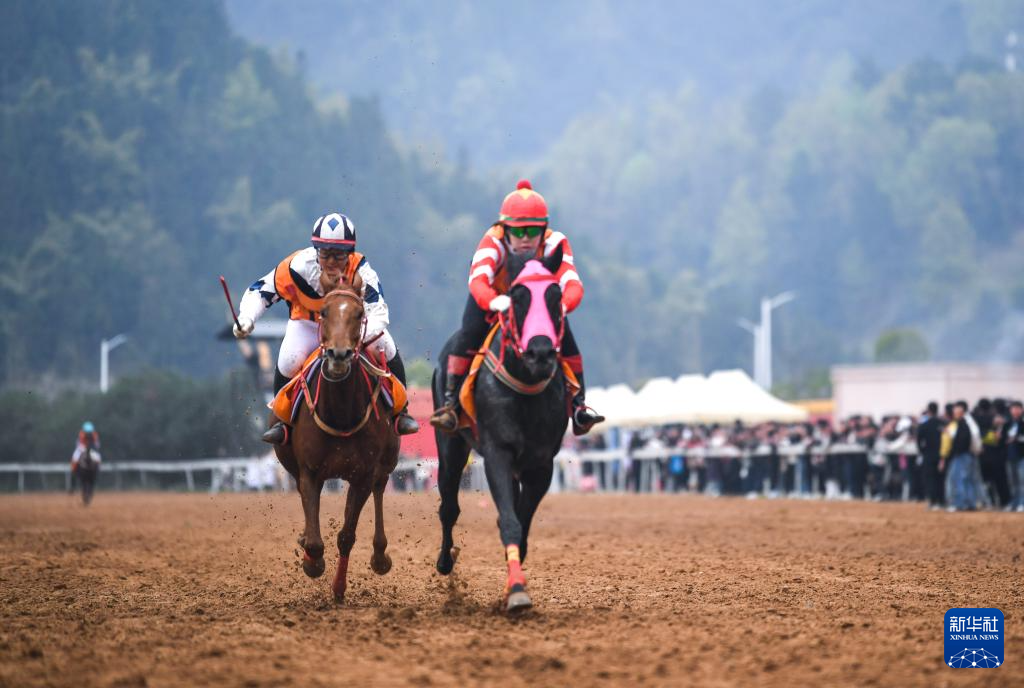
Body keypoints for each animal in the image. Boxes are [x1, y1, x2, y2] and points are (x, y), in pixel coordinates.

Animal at [272, 271, 401, 602]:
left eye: (359, 313)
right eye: (324, 312)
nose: (339, 355)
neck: (341, 413)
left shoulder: (363, 475)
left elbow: (346, 535)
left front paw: (339, 588)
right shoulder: (310, 471)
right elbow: (315, 537)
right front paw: (311, 560)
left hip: (386, 463)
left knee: (380, 489)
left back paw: (380, 556)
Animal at [432, 246, 571, 612]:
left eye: (556, 296)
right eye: (517, 298)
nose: (541, 352)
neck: (525, 387)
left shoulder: (541, 465)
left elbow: (521, 523)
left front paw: (514, 584)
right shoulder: (497, 452)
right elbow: (509, 521)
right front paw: (518, 591)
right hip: (452, 447)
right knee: (448, 506)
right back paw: (445, 561)